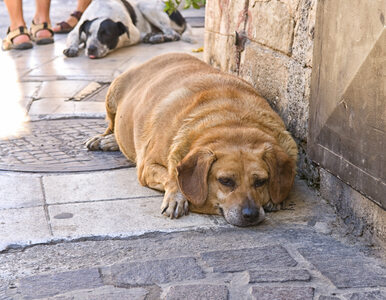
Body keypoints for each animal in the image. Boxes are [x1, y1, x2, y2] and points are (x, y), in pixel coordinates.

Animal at [64, 0, 195, 59]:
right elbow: (74, 37)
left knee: (174, 34)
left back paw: (161, 37)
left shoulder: (133, 33)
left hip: (146, 6)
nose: (90, 49)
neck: (103, 12)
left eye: (106, 34)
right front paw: (72, 48)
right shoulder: (76, 32)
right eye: (88, 33)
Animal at [86, 52, 298, 226]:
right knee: (111, 125)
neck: (233, 122)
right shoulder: (147, 167)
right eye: (226, 181)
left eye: (261, 181)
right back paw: (107, 140)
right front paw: (176, 197)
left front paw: (274, 199)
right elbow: (171, 177)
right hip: (112, 94)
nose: (251, 214)